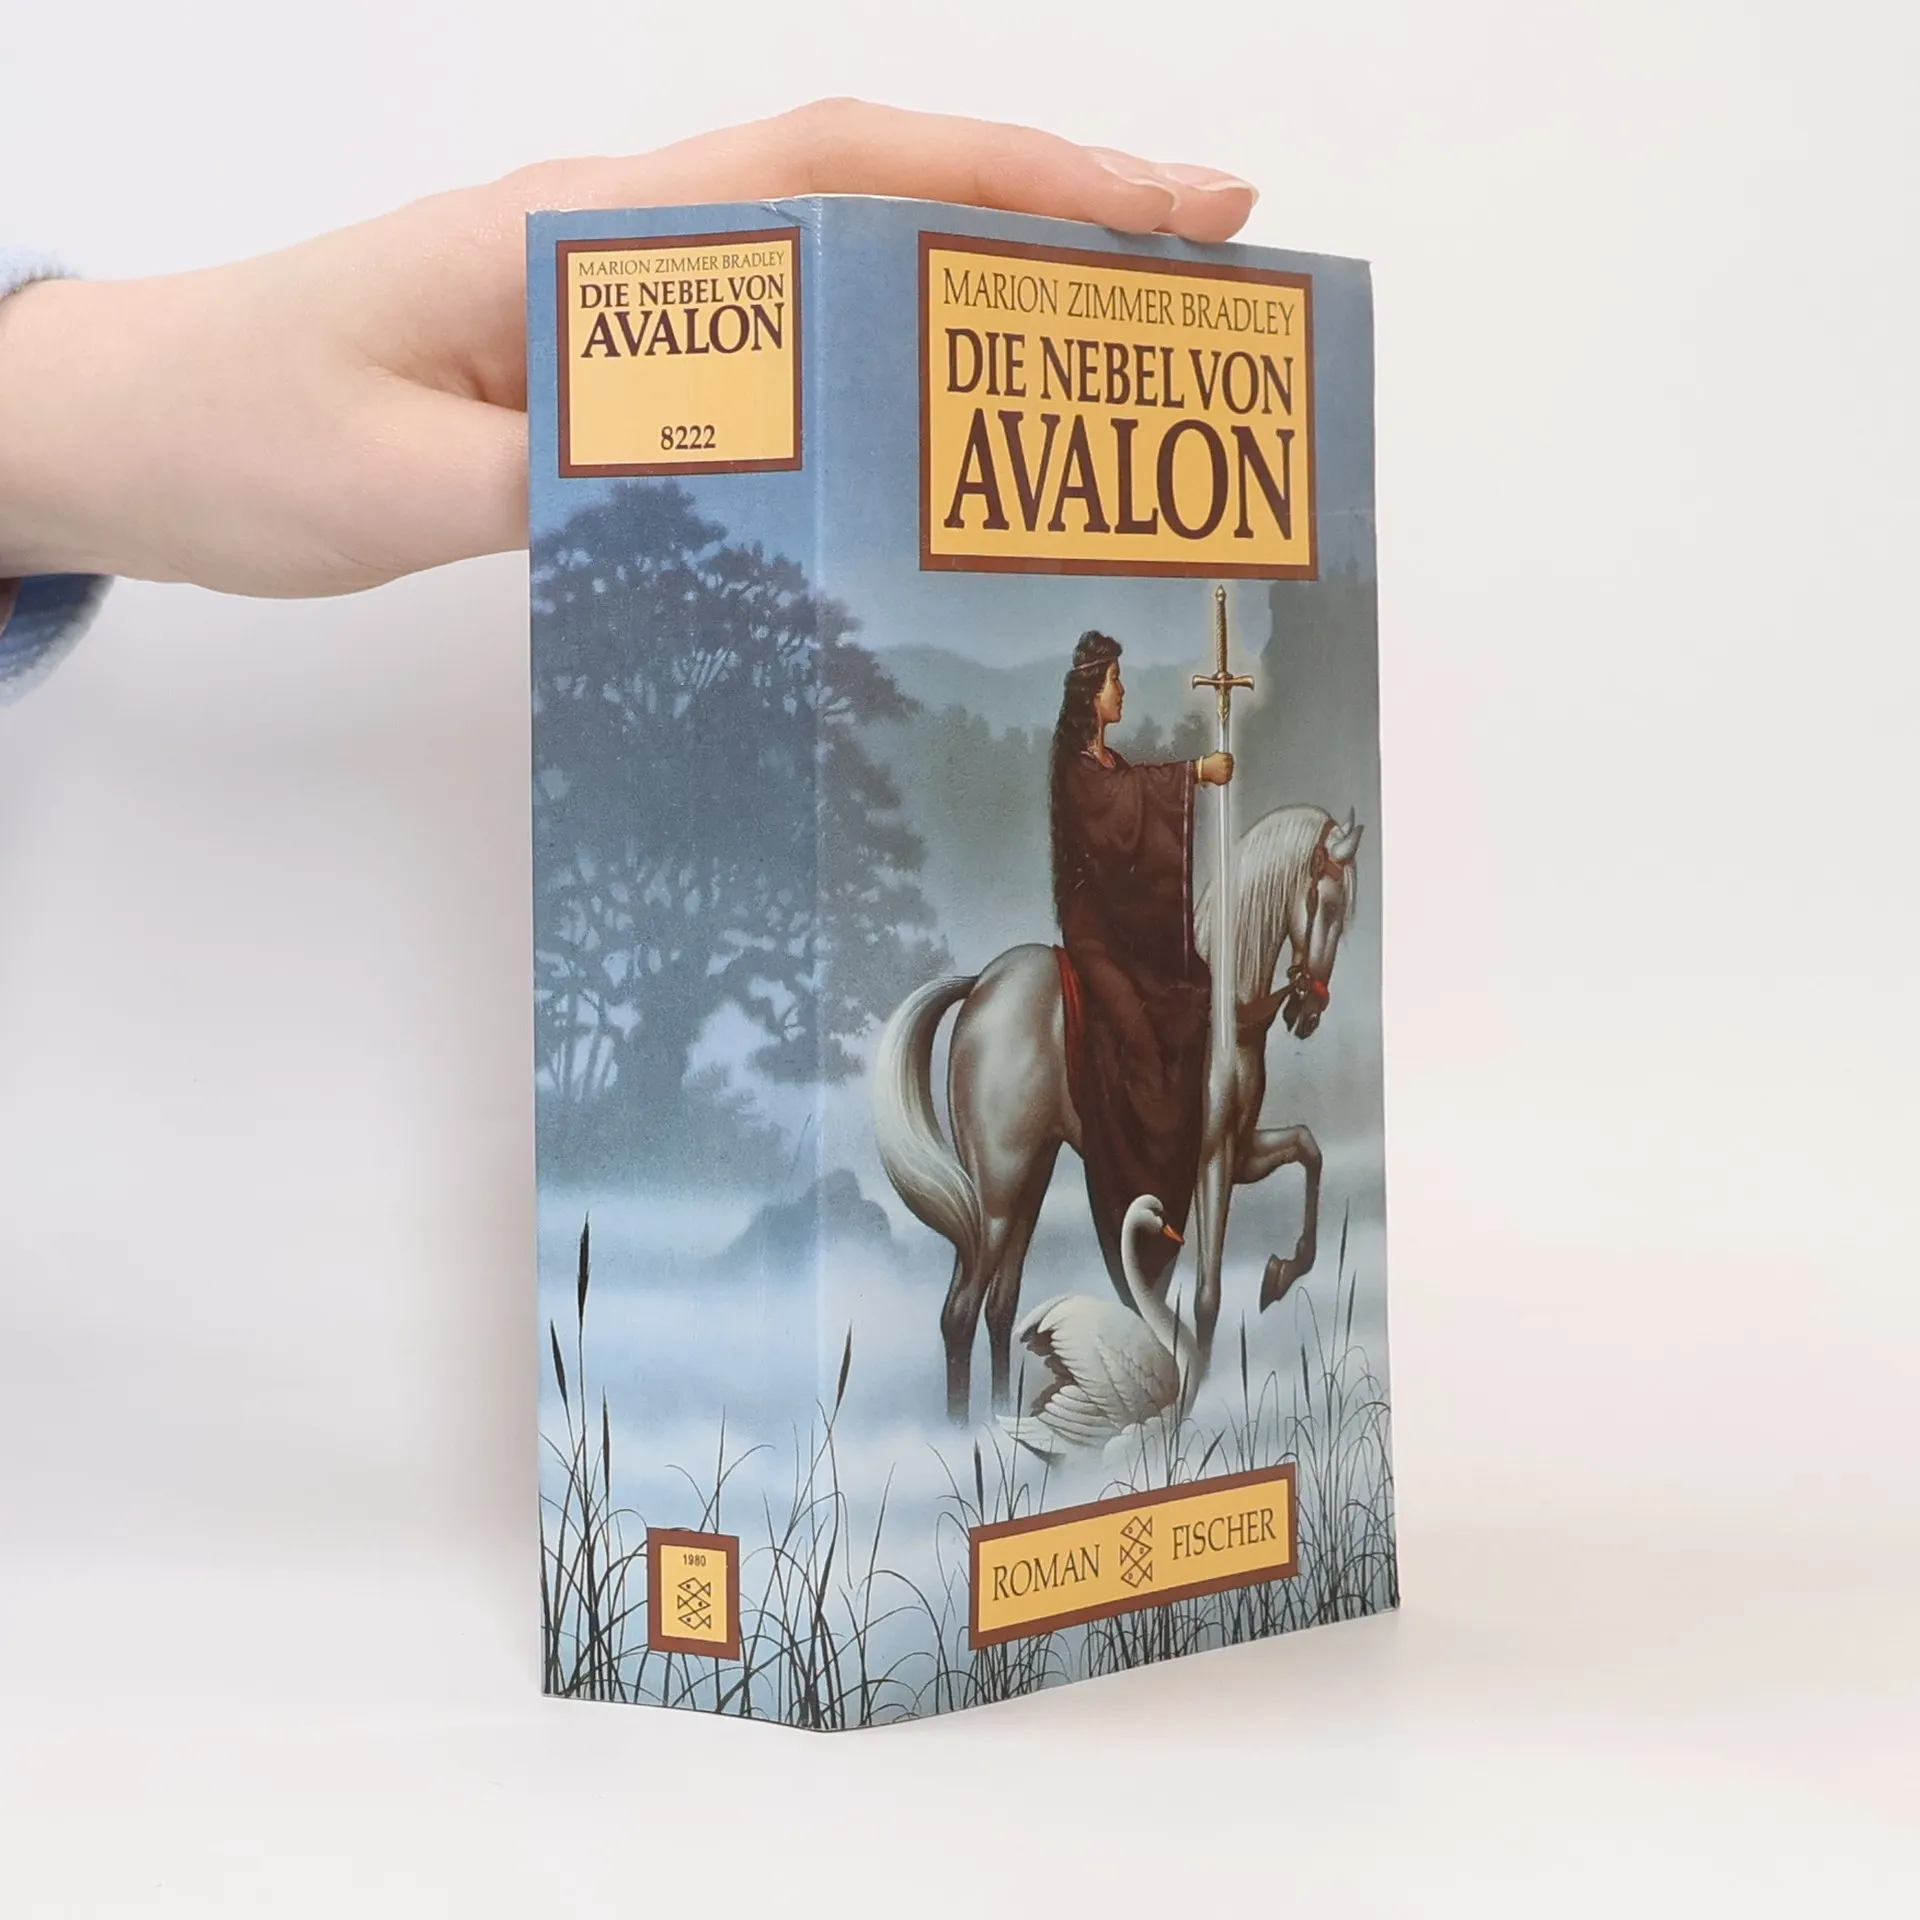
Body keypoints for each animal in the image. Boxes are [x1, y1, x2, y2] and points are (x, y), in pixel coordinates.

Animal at [872, 803, 1363, 1424]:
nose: (1308, 1011)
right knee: (959, 1311)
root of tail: (982, 986)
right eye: (1328, 904)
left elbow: (1308, 1148)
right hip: (996, 1195)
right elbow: (1207, 1295)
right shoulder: (1212, 1159)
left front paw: (1280, 1273)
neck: (1223, 1013)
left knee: (1000, 1307)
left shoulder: (1243, 1149)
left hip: (1030, 1181)